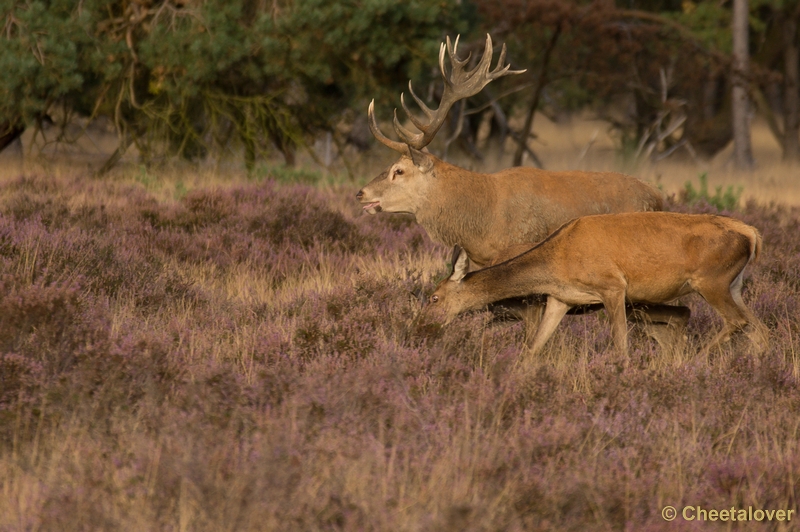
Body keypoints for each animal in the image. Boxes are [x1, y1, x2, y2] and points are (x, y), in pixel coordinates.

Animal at [424, 212, 768, 358]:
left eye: (434, 298)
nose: (423, 328)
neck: (557, 260)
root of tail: (752, 234)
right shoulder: (560, 298)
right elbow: (534, 346)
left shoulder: (612, 287)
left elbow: (620, 344)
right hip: (734, 285)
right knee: (759, 327)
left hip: (711, 281)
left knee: (736, 321)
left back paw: (689, 361)